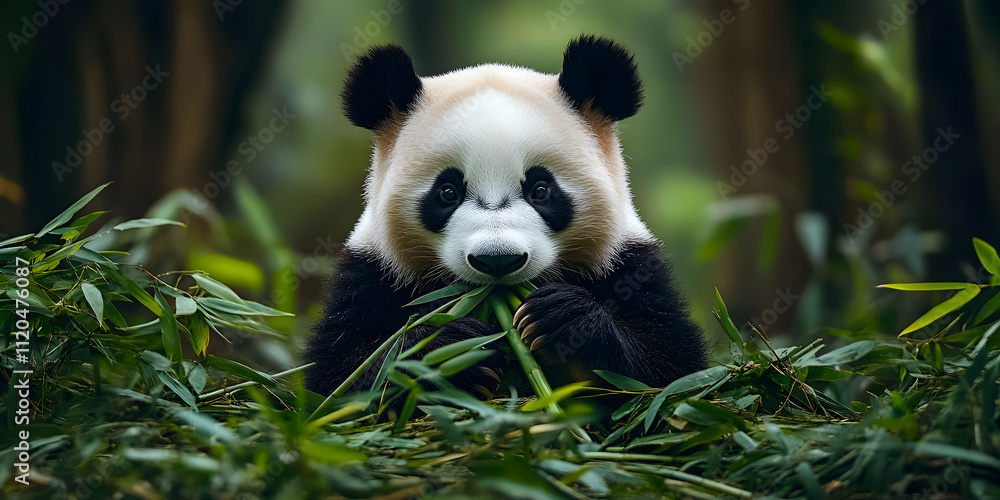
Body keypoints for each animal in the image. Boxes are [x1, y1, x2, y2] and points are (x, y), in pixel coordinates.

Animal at [305, 35, 707, 399]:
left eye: (541, 190)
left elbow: (670, 372)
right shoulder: (372, 274)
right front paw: (453, 347)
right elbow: (342, 379)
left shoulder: (629, 265)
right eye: (447, 192)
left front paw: (564, 317)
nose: (497, 260)